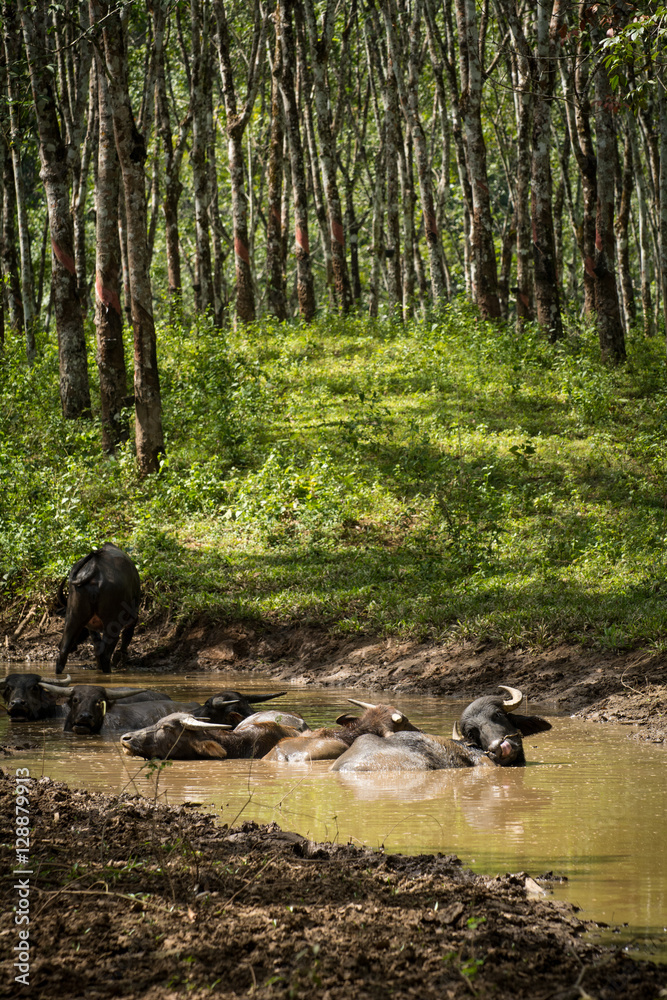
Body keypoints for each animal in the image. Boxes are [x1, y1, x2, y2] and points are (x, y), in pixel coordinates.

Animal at [55, 543, 141, 674]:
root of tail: (95, 568)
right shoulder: (133, 617)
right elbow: (127, 636)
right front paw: (120, 658)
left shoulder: (91, 627)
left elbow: (96, 646)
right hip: (112, 623)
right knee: (106, 654)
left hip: (73, 617)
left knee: (63, 651)